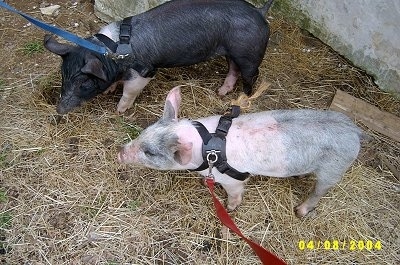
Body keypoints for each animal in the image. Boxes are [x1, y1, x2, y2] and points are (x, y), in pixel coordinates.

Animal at [44, 0, 276, 112]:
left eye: (84, 83)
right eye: (64, 77)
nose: (59, 110)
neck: (112, 52)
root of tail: (260, 12)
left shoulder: (145, 71)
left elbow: (129, 91)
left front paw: (119, 110)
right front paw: (110, 90)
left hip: (249, 53)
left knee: (251, 75)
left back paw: (242, 98)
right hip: (232, 52)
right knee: (233, 70)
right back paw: (221, 92)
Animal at [116, 86, 366, 217]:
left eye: (150, 153)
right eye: (144, 131)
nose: (119, 152)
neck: (208, 146)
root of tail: (354, 130)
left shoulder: (232, 179)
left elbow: (235, 192)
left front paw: (230, 207)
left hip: (334, 168)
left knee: (319, 191)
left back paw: (300, 211)